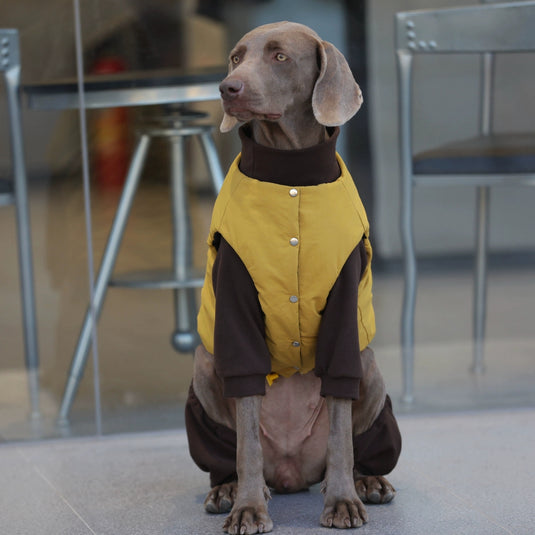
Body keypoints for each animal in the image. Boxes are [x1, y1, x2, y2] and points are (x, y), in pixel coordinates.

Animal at [186, 19, 400, 532]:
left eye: (280, 56)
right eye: (235, 57)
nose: (228, 88)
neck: (291, 176)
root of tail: (291, 471)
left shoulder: (344, 310)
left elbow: (341, 429)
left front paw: (342, 500)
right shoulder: (235, 304)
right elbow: (246, 435)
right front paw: (247, 507)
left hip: (371, 367)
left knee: (353, 440)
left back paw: (367, 480)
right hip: (205, 362)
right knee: (236, 451)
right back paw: (229, 488)